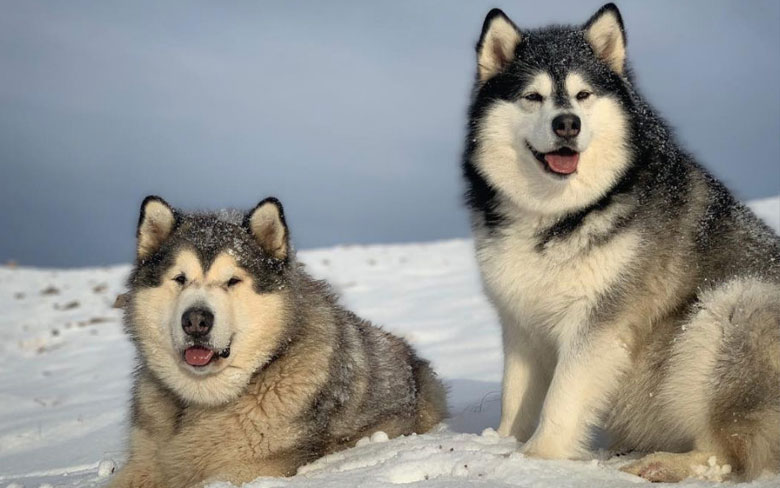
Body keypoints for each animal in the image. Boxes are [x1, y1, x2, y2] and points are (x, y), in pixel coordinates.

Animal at [112, 196, 448, 486]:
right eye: (180, 279)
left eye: (232, 280)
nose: (196, 321)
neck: (200, 401)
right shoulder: (144, 461)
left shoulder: (256, 467)